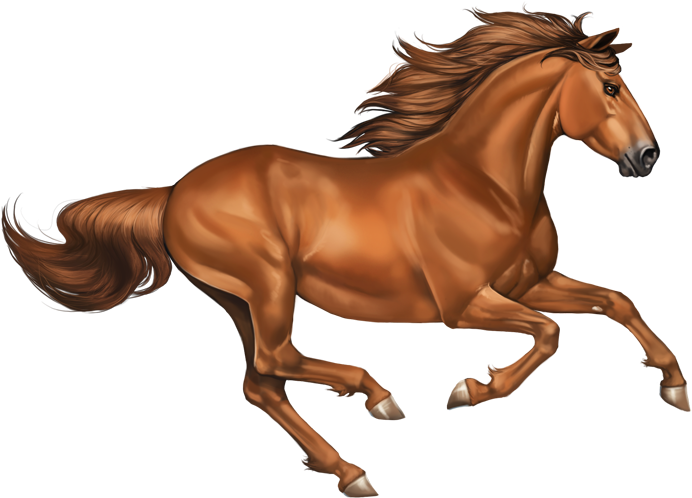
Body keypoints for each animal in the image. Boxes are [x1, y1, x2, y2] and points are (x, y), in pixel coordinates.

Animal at [2, 4, 688, 497]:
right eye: (610, 87)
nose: (649, 157)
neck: (485, 184)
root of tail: (174, 194)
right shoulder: (467, 303)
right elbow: (549, 334)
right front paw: (468, 390)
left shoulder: (530, 282)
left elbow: (616, 302)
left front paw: (675, 387)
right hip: (268, 284)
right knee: (278, 358)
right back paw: (378, 401)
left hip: (236, 301)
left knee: (262, 384)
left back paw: (350, 471)